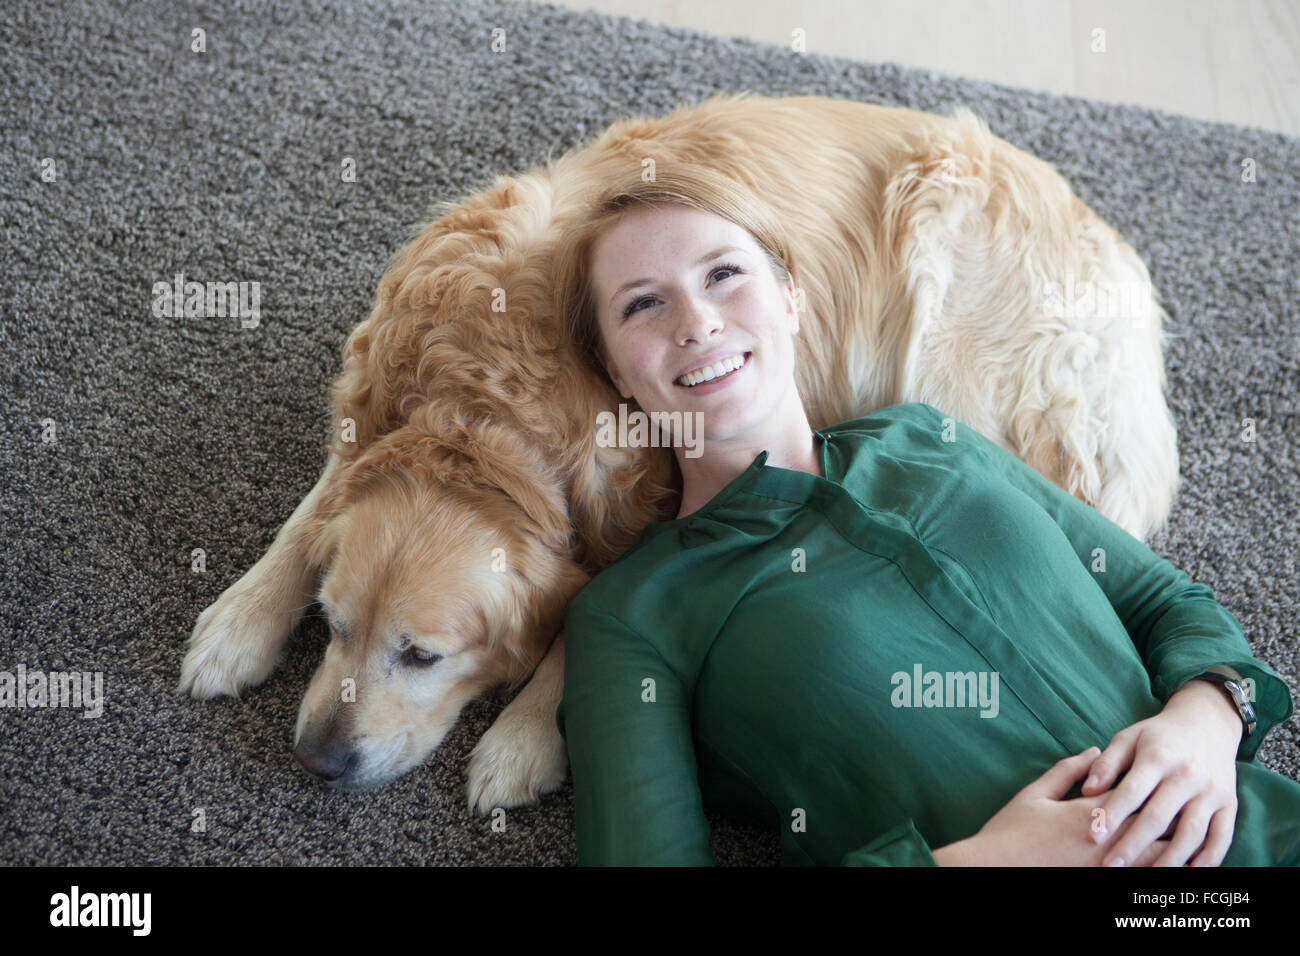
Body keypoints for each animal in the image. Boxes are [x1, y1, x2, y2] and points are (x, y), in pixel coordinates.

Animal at [175, 91, 1180, 806]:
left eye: (421, 656)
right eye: (334, 625)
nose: (318, 760)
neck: (481, 407)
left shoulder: (645, 499)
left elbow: (584, 605)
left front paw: (524, 736)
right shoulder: (371, 408)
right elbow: (312, 510)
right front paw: (238, 620)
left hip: (946, 333)